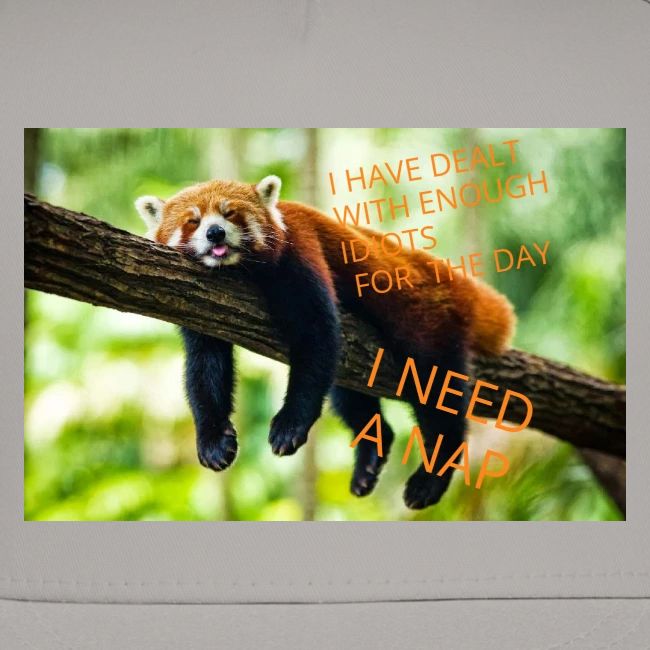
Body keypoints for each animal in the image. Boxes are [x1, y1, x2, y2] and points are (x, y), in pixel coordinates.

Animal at [136, 175, 515, 509]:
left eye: (230, 214)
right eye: (193, 221)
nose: (215, 232)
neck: (238, 271)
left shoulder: (300, 252)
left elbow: (316, 337)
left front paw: (290, 425)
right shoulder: (200, 304)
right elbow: (205, 367)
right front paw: (213, 440)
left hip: (427, 322)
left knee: (436, 391)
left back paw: (431, 477)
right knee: (348, 395)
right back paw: (370, 457)